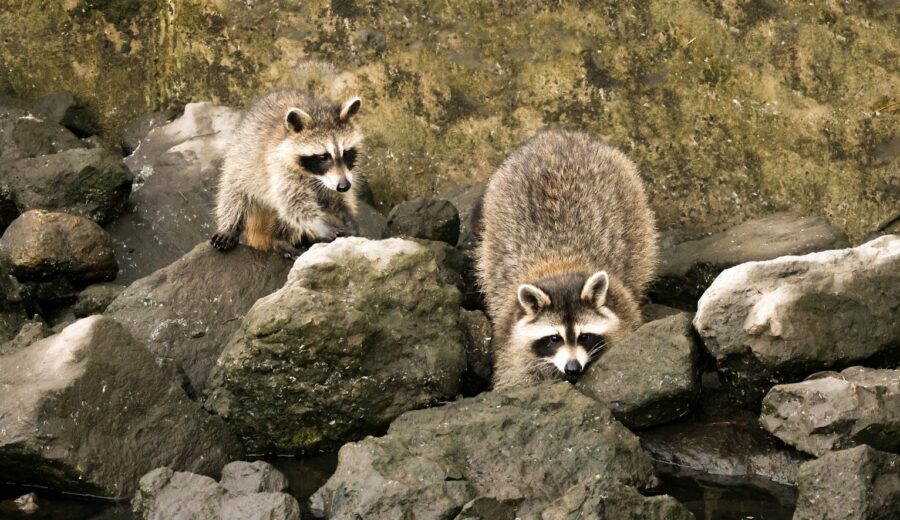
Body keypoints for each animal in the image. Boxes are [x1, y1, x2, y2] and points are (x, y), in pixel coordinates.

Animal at [211, 90, 364, 254]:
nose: (344, 186)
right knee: (235, 192)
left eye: (346, 153)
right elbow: (293, 204)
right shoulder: (278, 166)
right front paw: (320, 225)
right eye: (323, 157)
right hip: (242, 159)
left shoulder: (339, 176)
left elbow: (335, 197)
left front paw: (347, 214)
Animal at [476, 128, 658, 388]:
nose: (573, 368)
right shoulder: (509, 336)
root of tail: (556, 134)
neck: (560, 265)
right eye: (554, 338)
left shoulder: (624, 311)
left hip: (635, 215)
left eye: (585, 336)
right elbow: (516, 374)